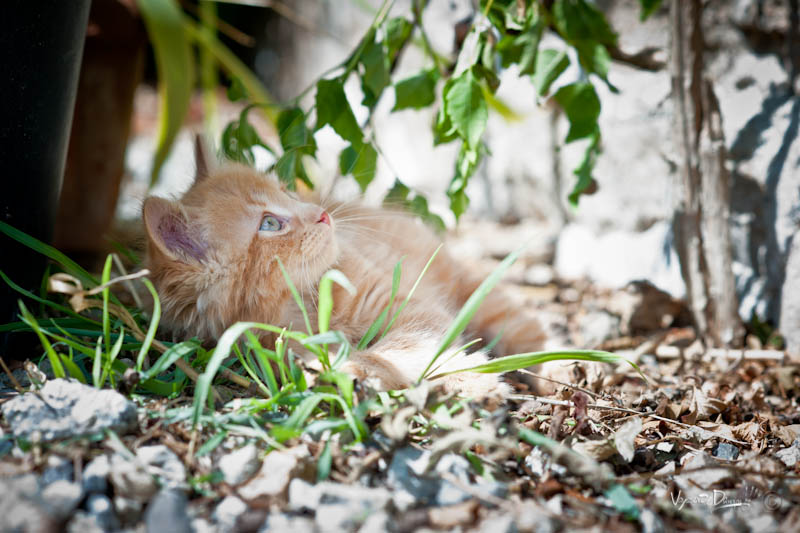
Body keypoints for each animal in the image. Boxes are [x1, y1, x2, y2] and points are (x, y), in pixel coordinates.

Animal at [144, 141, 544, 400]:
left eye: (288, 191)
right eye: (270, 224)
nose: (321, 213)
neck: (304, 306)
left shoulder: (414, 311)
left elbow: (401, 350)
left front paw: (475, 382)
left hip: (478, 295)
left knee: (534, 335)